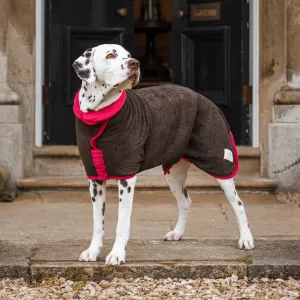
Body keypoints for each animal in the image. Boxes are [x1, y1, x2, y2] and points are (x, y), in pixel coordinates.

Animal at [72, 44, 253, 264]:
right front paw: (93, 251)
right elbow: (98, 223)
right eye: (111, 55)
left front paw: (116, 254)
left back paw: (246, 239)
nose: (135, 64)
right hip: (173, 173)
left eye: (128, 55)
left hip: (219, 162)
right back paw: (177, 233)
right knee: (185, 201)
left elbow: (122, 223)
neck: (99, 116)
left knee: (238, 203)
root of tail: (207, 100)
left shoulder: (126, 177)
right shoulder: (95, 179)